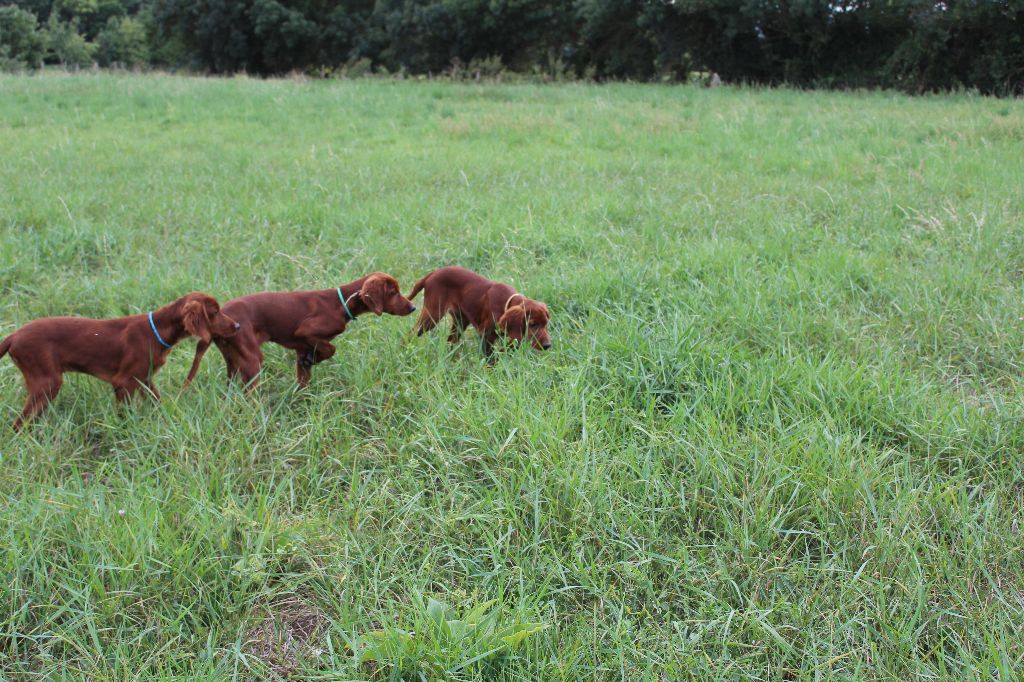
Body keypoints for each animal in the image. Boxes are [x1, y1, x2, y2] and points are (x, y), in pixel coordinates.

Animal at [0, 292, 237, 430]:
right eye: (215, 312)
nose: (237, 326)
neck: (157, 331)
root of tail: (14, 336)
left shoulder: (145, 379)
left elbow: (157, 401)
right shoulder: (124, 382)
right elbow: (126, 414)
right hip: (48, 382)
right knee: (18, 424)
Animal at [188, 270, 415, 387]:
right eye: (393, 292)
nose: (413, 307)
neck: (341, 303)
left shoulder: (302, 347)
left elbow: (304, 376)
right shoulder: (306, 333)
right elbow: (331, 349)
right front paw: (314, 359)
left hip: (233, 358)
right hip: (252, 358)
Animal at [407, 264, 552, 356]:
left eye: (546, 324)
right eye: (532, 324)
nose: (547, 345)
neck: (506, 302)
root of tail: (432, 274)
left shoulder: (514, 338)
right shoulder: (486, 335)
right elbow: (491, 359)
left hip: (460, 322)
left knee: (450, 341)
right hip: (432, 316)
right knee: (411, 333)